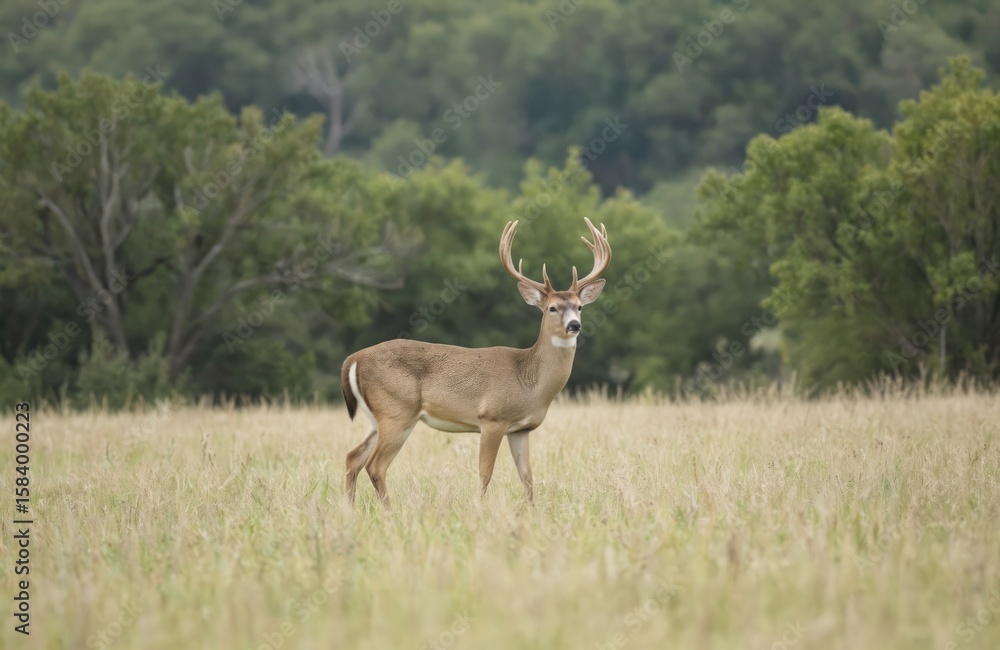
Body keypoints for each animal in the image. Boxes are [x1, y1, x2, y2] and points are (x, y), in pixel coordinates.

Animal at [341, 217, 611, 507]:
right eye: (552, 308)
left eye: (579, 306)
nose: (574, 325)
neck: (528, 380)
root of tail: (353, 359)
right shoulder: (491, 418)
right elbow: (485, 473)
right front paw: (479, 507)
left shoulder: (521, 429)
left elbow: (527, 478)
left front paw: (531, 510)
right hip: (397, 412)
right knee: (375, 465)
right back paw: (389, 511)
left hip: (378, 417)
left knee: (352, 457)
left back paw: (350, 508)